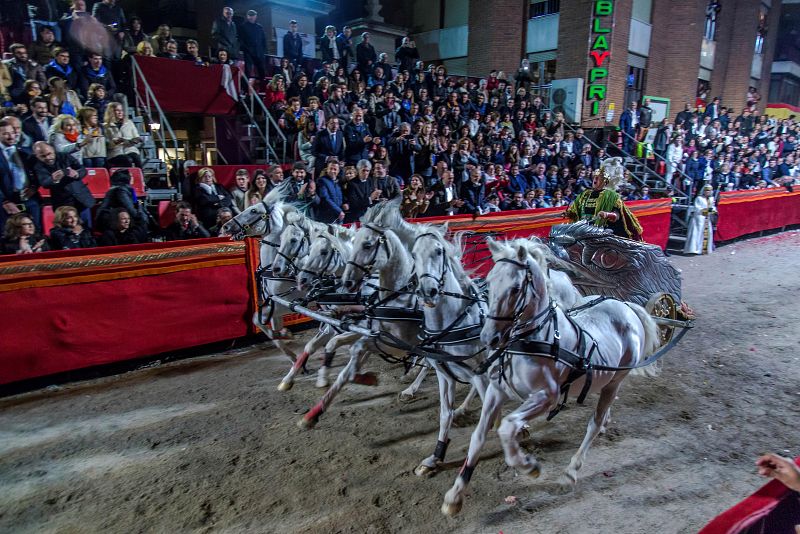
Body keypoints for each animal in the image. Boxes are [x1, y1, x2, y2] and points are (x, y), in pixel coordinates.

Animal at [440, 240, 660, 520]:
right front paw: (455, 495)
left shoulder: (547, 396)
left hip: (615, 380)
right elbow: (478, 437)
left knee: (594, 423)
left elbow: (507, 427)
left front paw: (527, 465)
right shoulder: (496, 392)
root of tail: (627, 307)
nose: (488, 338)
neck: (532, 341)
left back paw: (571, 471)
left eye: (515, 288)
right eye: (489, 281)